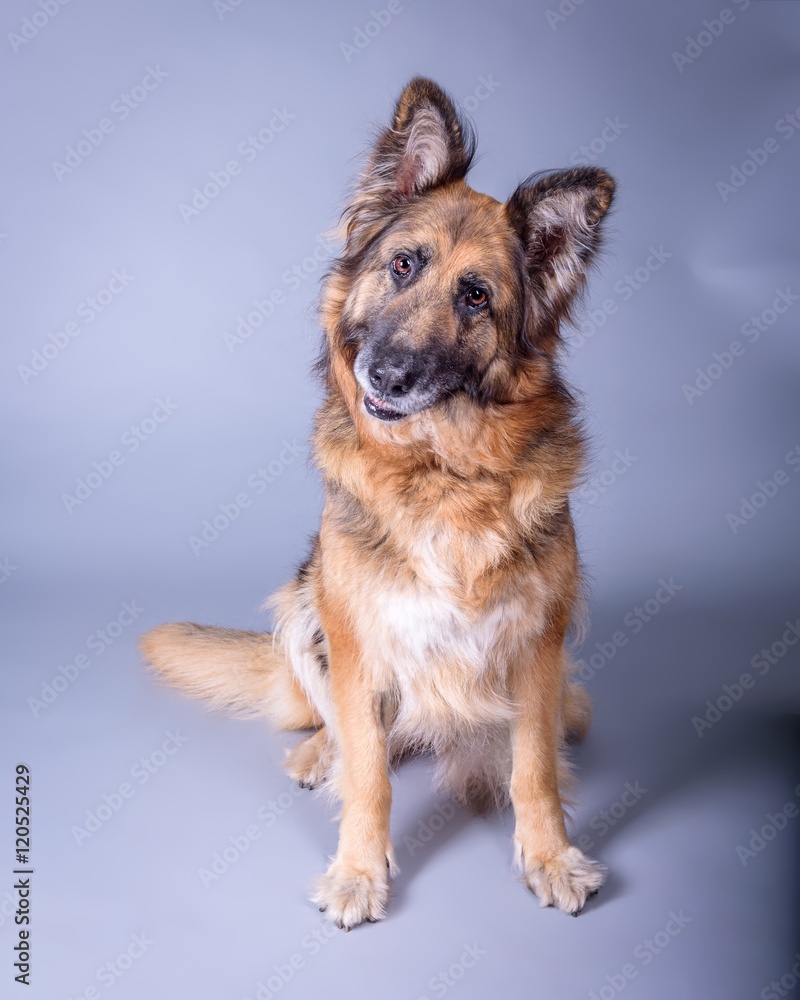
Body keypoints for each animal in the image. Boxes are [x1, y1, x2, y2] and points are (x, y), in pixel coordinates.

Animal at [141, 76, 616, 928]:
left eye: (476, 296)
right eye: (402, 264)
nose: (386, 375)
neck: (443, 470)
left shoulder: (537, 644)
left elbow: (531, 769)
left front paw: (551, 856)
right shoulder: (358, 635)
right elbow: (368, 773)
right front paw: (359, 872)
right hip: (305, 601)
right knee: (346, 727)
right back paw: (318, 751)